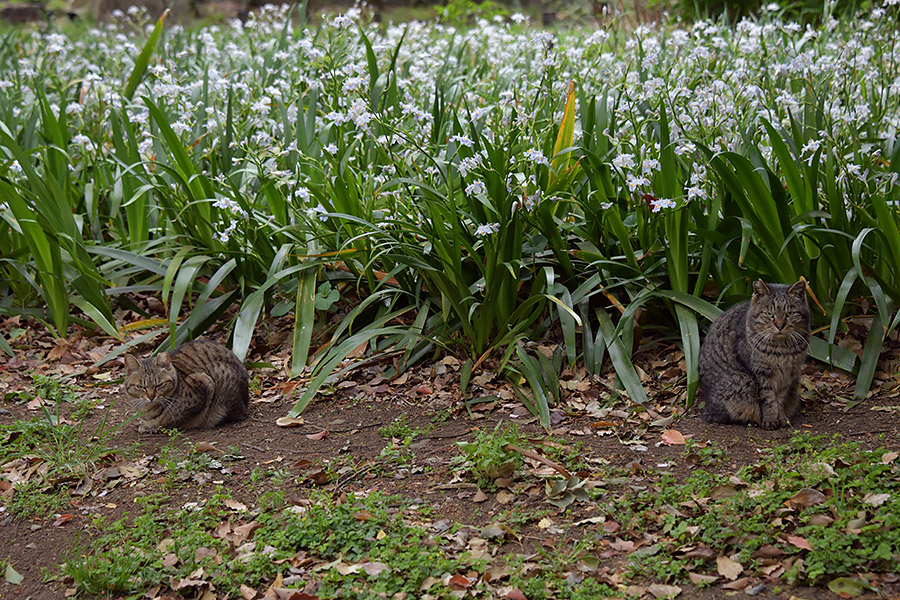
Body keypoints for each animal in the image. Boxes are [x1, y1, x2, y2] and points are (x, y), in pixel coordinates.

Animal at [121, 338, 250, 432]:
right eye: (141, 387)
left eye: (159, 385)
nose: (151, 397)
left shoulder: (204, 386)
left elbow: (176, 419)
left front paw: (154, 426)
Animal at [696, 278, 808, 428]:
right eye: (769, 314)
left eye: (789, 314)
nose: (779, 326)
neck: (782, 349)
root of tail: (707, 406)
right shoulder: (761, 374)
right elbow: (769, 399)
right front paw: (770, 419)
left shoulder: (789, 375)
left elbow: (779, 400)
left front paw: (782, 418)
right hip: (744, 381)